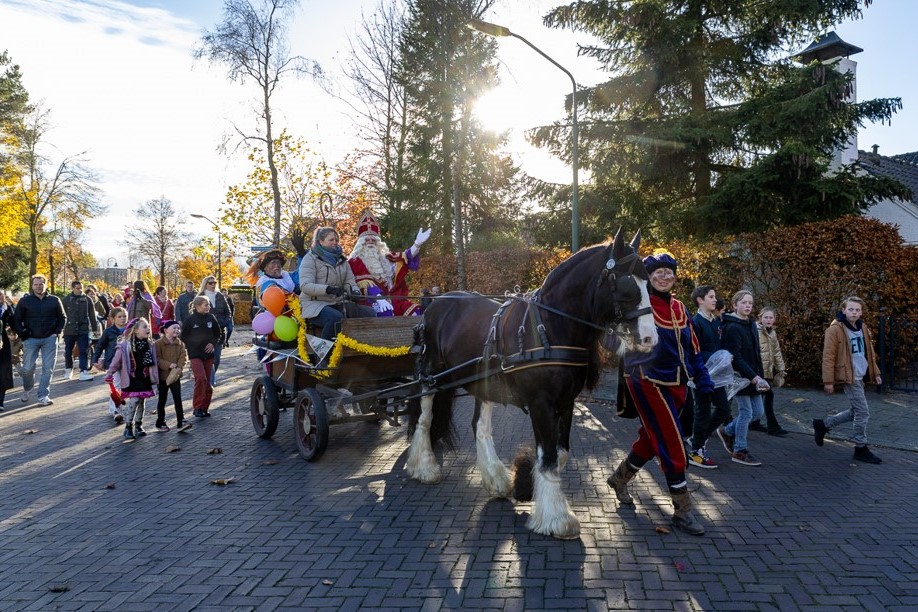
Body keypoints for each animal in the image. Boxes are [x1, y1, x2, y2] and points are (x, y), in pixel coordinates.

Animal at [406, 231, 656, 540]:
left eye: (649, 284)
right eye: (627, 286)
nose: (650, 338)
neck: (549, 327)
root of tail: (434, 303)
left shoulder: (566, 402)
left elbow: (560, 453)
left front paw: (525, 483)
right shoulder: (541, 403)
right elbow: (548, 456)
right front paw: (556, 519)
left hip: (482, 380)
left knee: (480, 426)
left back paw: (495, 479)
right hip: (432, 376)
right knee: (425, 417)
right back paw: (423, 467)